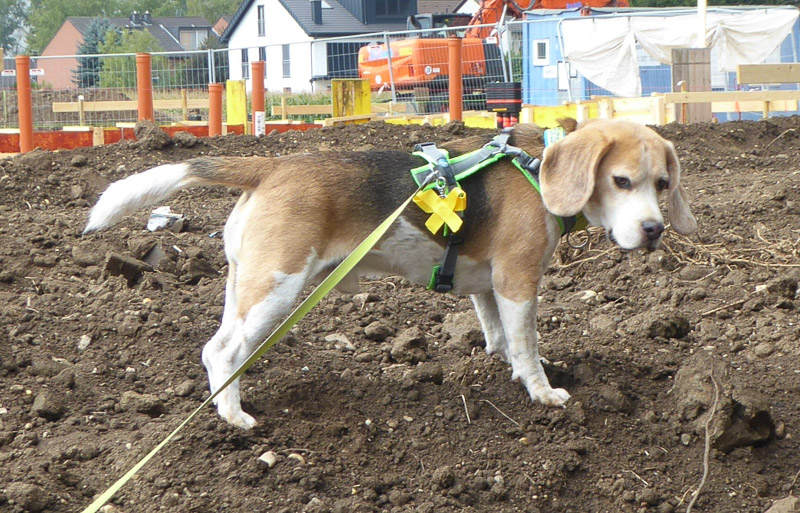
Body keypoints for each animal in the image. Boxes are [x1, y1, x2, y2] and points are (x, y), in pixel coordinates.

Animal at [83, 120, 692, 428]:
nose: (654, 231)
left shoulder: (487, 286)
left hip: (246, 284)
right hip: (277, 289)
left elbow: (500, 338)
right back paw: (235, 417)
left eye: (663, 183)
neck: (538, 164)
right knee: (223, 351)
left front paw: (508, 369)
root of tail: (273, 164)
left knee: (218, 345)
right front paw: (543, 392)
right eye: (621, 181)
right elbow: (527, 344)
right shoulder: (518, 282)